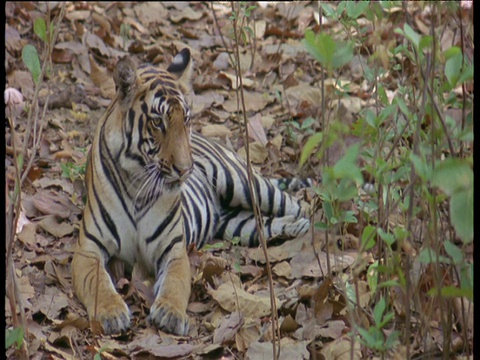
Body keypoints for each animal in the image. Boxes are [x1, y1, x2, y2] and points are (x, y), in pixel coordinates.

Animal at [71, 47, 312, 334]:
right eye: (157, 123)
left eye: (185, 119)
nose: (186, 169)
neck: (137, 184)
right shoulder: (88, 247)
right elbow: (97, 281)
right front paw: (111, 313)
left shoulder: (173, 249)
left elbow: (176, 282)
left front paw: (170, 314)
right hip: (237, 225)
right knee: (266, 223)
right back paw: (294, 226)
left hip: (245, 184)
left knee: (298, 203)